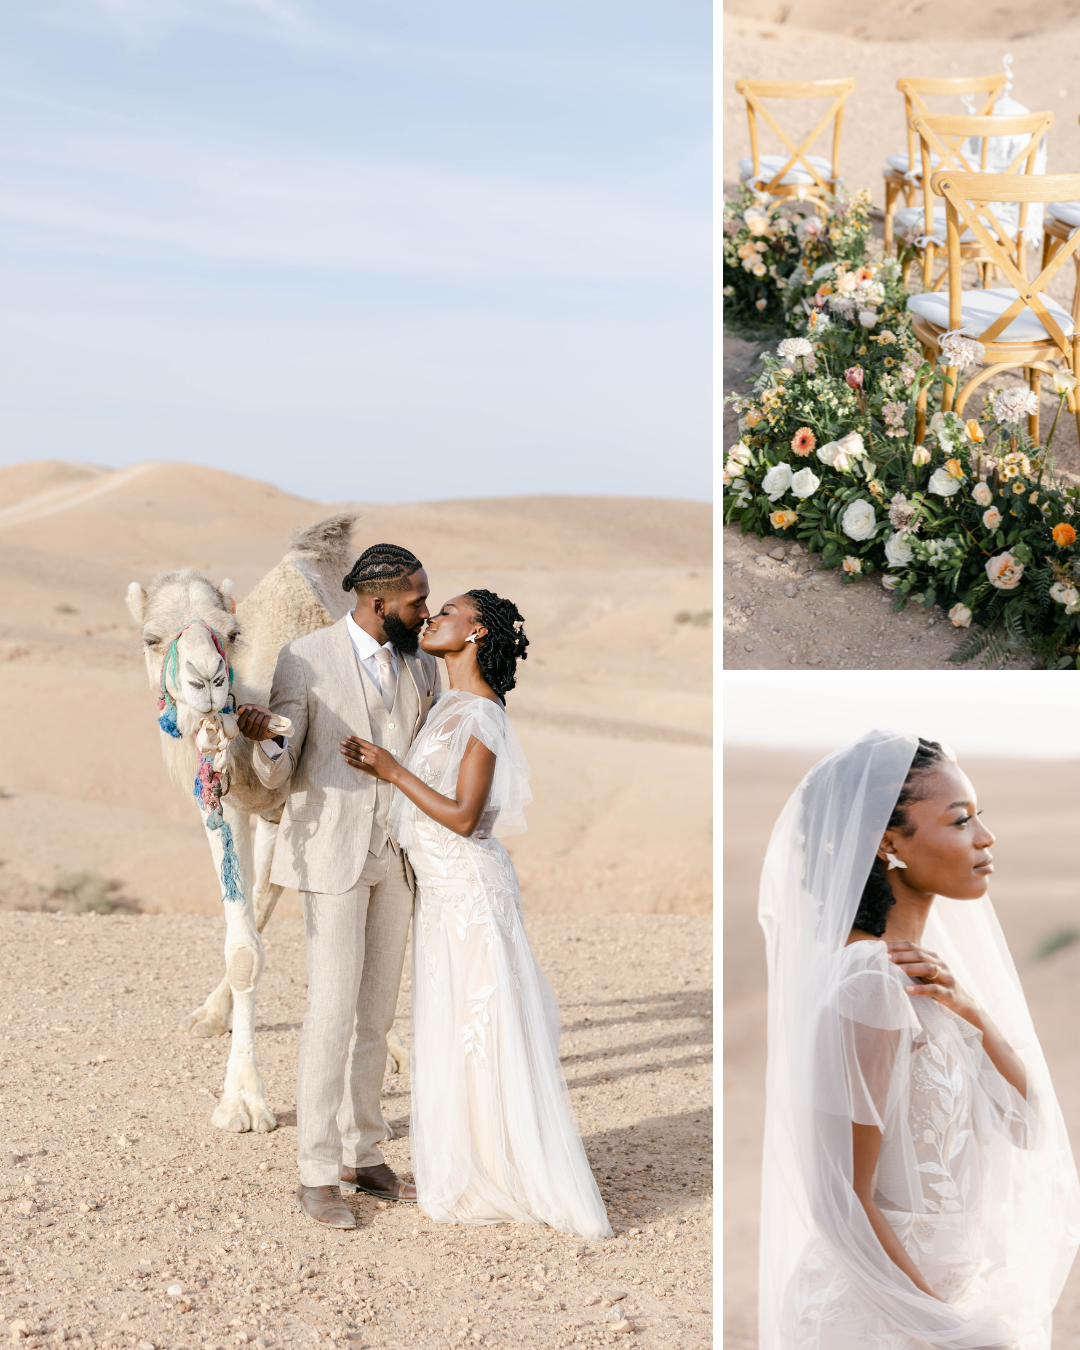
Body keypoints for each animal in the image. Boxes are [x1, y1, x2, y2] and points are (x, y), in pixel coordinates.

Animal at [127, 513, 405, 1128]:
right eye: (151, 638)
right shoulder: (227, 804)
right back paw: (211, 1014)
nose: (207, 679)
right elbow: (244, 947)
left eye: (231, 633)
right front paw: (243, 1100)